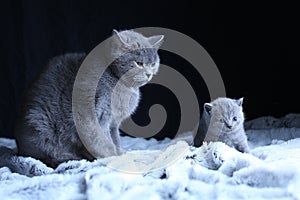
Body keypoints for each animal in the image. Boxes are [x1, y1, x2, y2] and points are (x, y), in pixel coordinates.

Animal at [12, 29, 164, 167]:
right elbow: (102, 141)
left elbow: (115, 139)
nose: (149, 74)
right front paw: (114, 157)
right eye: (139, 63)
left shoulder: (114, 123)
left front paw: (120, 153)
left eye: (153, 64)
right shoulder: (95, 116)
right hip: (39, 121)